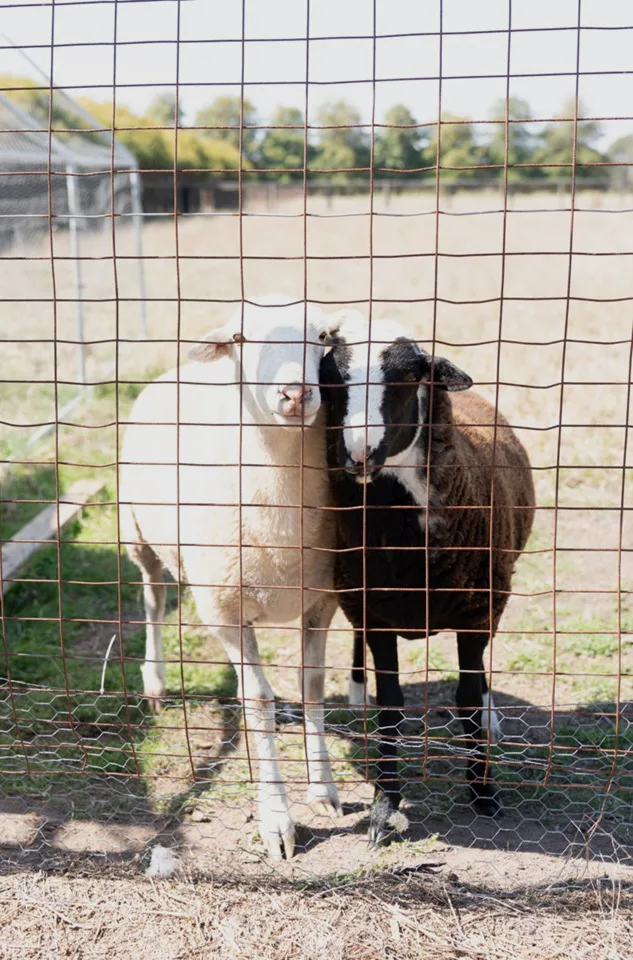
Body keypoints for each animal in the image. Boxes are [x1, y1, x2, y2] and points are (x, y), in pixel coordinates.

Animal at [119, 298, 341, 860]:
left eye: (322, 336)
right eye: (240, 338)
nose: (295, 393)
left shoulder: (321, 601)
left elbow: (311, 685)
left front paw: (323, 789)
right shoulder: (224, 612)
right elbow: (257, 701)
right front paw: (276, 820)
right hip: (137, 533)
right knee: (154, 599)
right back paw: (155, 681)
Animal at [319, 310, 535, 844]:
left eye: (406, 379)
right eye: (330, 382)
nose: (358, 456)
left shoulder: (478, 613)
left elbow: (467, 702)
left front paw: (484, 794)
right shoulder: (373, 613)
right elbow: (390, 710)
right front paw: (385, 807)